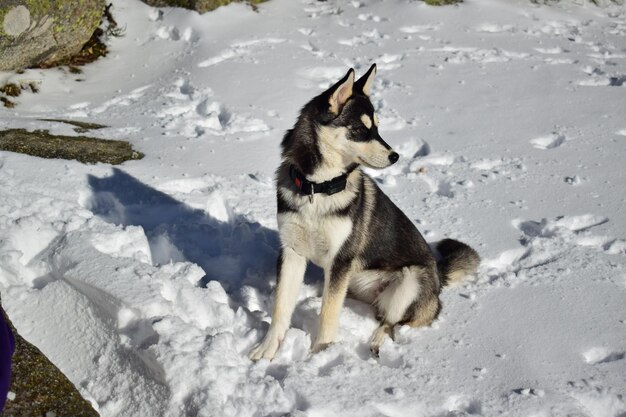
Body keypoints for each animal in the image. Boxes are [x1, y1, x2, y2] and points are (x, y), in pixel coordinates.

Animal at [249, 63, 478, 360]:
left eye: (378, 128)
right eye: (359, 129)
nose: (395, 156)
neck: (318, 189)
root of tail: (439, 277)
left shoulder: (340, 260)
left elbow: (328, 315)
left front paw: (322, 354)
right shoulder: (292, 252)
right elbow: (280, 307)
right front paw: (268, 348)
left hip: (411, 280)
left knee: (390, 323)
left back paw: (376, 342)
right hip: (357, 282)